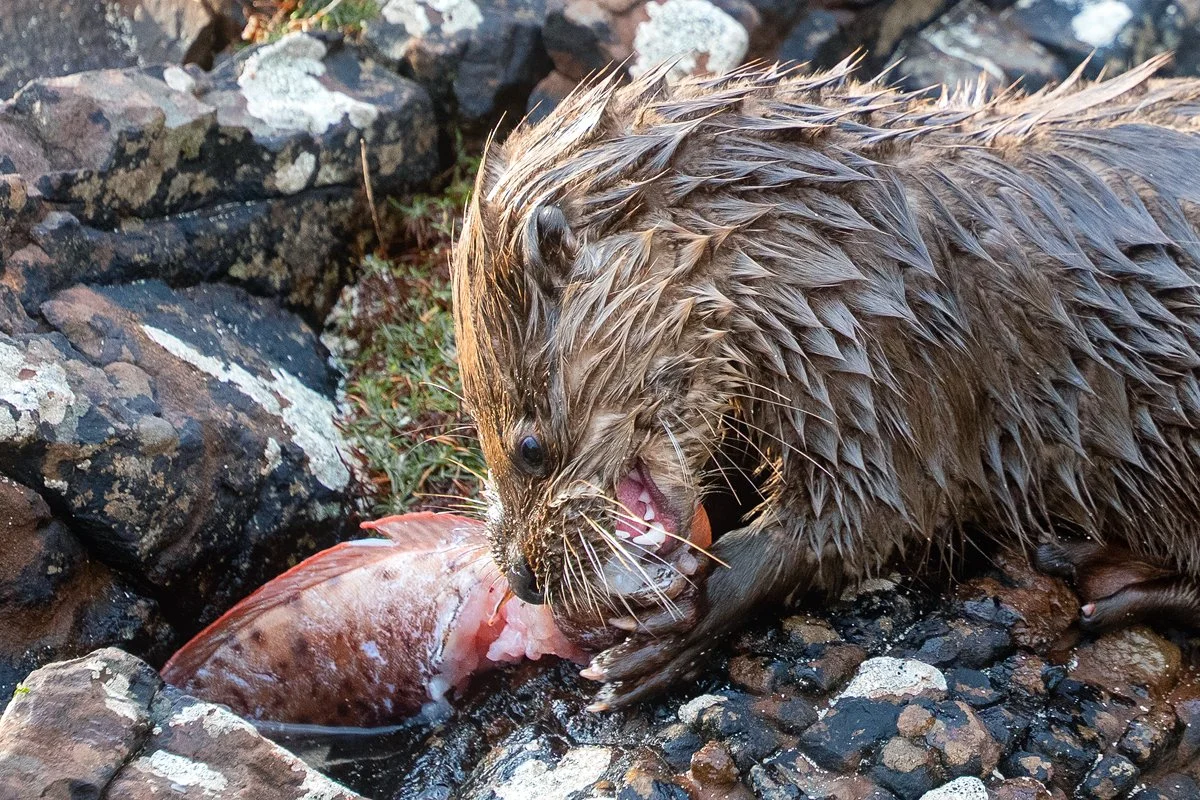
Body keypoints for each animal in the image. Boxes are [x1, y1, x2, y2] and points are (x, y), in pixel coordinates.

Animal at [452, 54, 1200, 710]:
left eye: (529, 448)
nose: (521, 575)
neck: (823, 250)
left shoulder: (889, 371)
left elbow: (869, 514)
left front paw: (669, 632)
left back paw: (1097, 571)